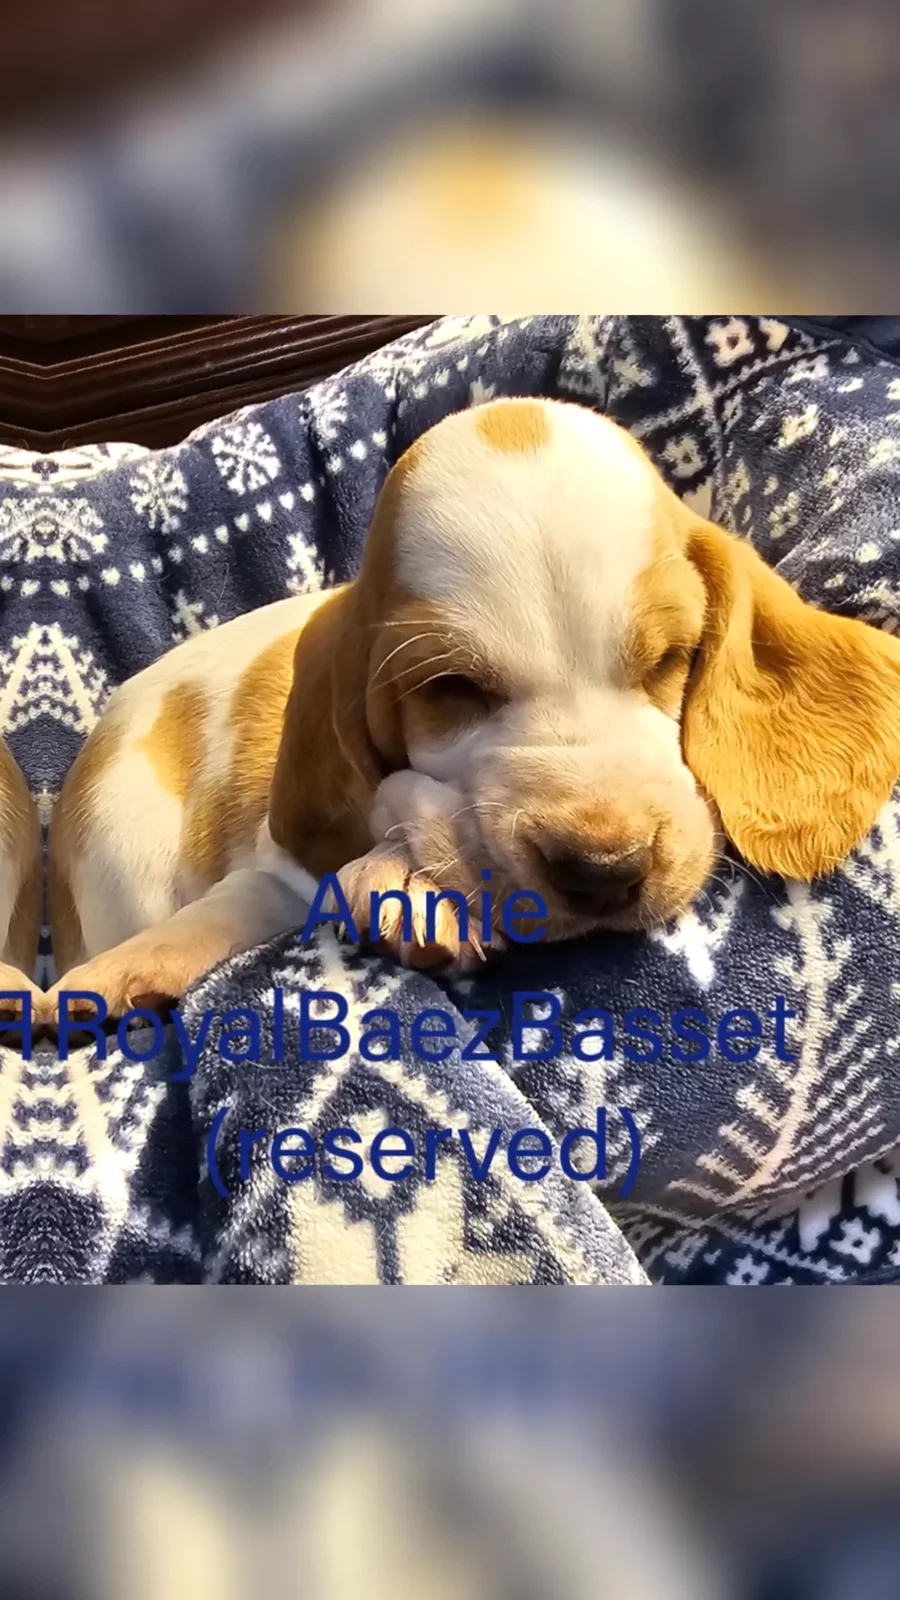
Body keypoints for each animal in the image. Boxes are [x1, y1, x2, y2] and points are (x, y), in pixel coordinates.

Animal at [43, 396, 900, 1021]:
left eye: (668, 661)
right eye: (451, 691)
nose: (602, 871)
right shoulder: (273, 861)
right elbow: (254, 894)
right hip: (125, 849)